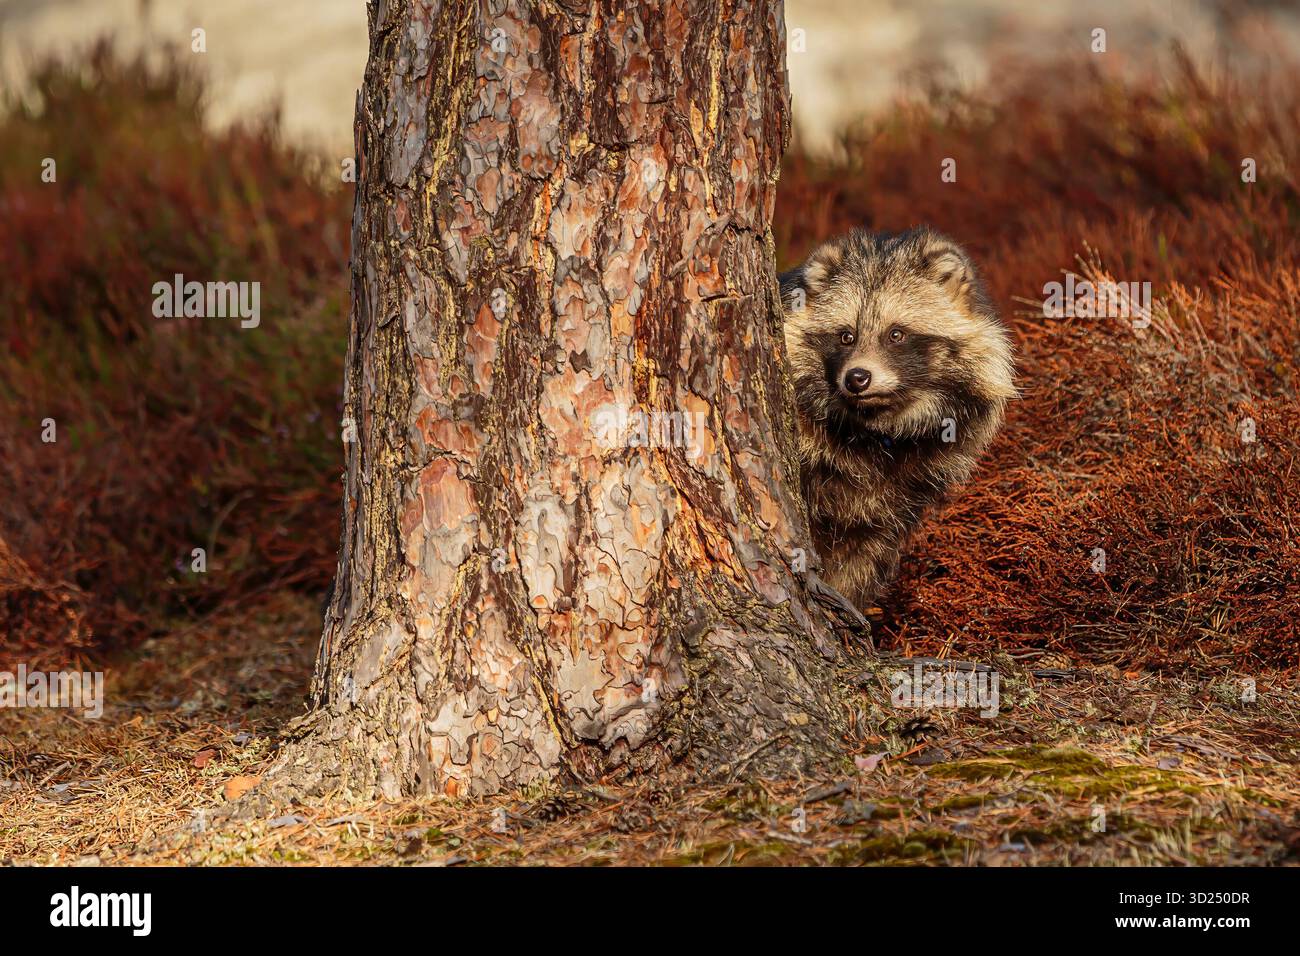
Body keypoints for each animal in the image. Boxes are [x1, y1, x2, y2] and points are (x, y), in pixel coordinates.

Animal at [780, 227, 1016, 610]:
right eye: (846, 336)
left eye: (896, 334)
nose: (857, 378)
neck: (874, 428)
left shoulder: (903, 494)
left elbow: (866, 555)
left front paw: (850, 605)